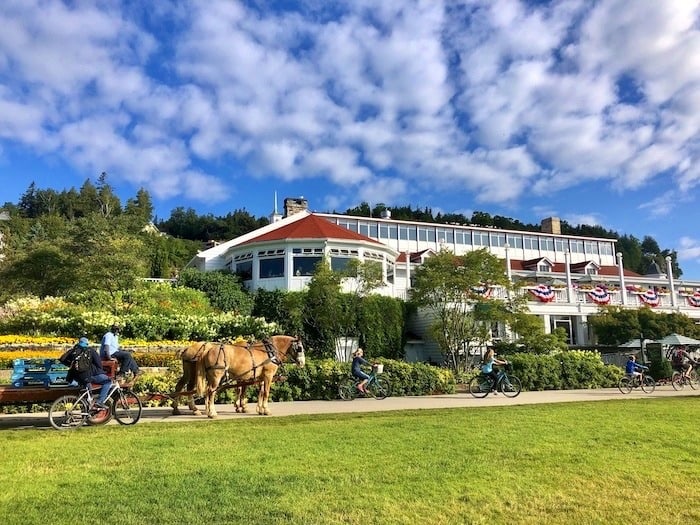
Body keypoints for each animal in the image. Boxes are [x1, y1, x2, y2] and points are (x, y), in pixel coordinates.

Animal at [171, 336, 304, 418]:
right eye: (299, 348)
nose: (302, 363)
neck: (268, 352)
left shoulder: (256, 377)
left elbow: (255, 391)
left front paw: (257, 409)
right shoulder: (267, 375)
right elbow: (264, 392)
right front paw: (264, 410)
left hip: (195, 373)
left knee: (182, 387)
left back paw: (180, 409)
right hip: (213, 375)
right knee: (208, 391)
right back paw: (209, 412)